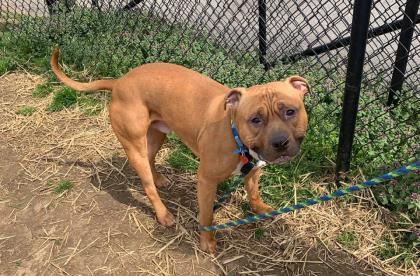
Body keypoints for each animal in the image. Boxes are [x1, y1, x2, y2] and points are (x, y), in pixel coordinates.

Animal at [51, 49, 308, 252]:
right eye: (255, 119)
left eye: (290, 111)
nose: (280, 142)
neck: (234, 132)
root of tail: (119, 82)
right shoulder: (206, 181)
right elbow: (207, 215)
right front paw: (207, 242)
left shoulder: (253, 169)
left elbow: (253, 192)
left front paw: (260, 208)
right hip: (134, 145)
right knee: (147, 185)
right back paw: (163, 214)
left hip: (157, 135)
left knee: (151, 159)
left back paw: (159, 179)